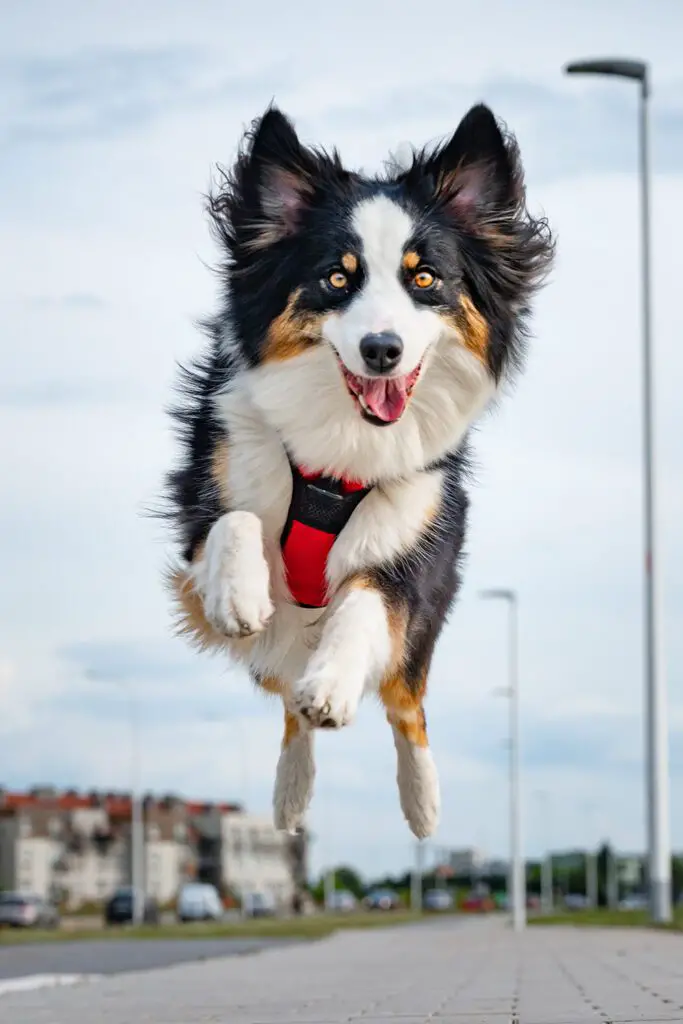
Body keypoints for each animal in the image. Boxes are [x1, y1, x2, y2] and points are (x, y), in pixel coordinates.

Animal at [161, 101, 557, 839]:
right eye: (337, 277)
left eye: (424, 278)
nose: (381, 349)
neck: (339, 453)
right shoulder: (202, 502)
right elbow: (232, 521)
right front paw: (239, 594)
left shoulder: (414, 551)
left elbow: (366, 604)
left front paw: (333, 684)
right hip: (274, 646)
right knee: (285, 694)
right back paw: (291, 793)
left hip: (421, 632)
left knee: (406, 703)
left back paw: (422, 802)